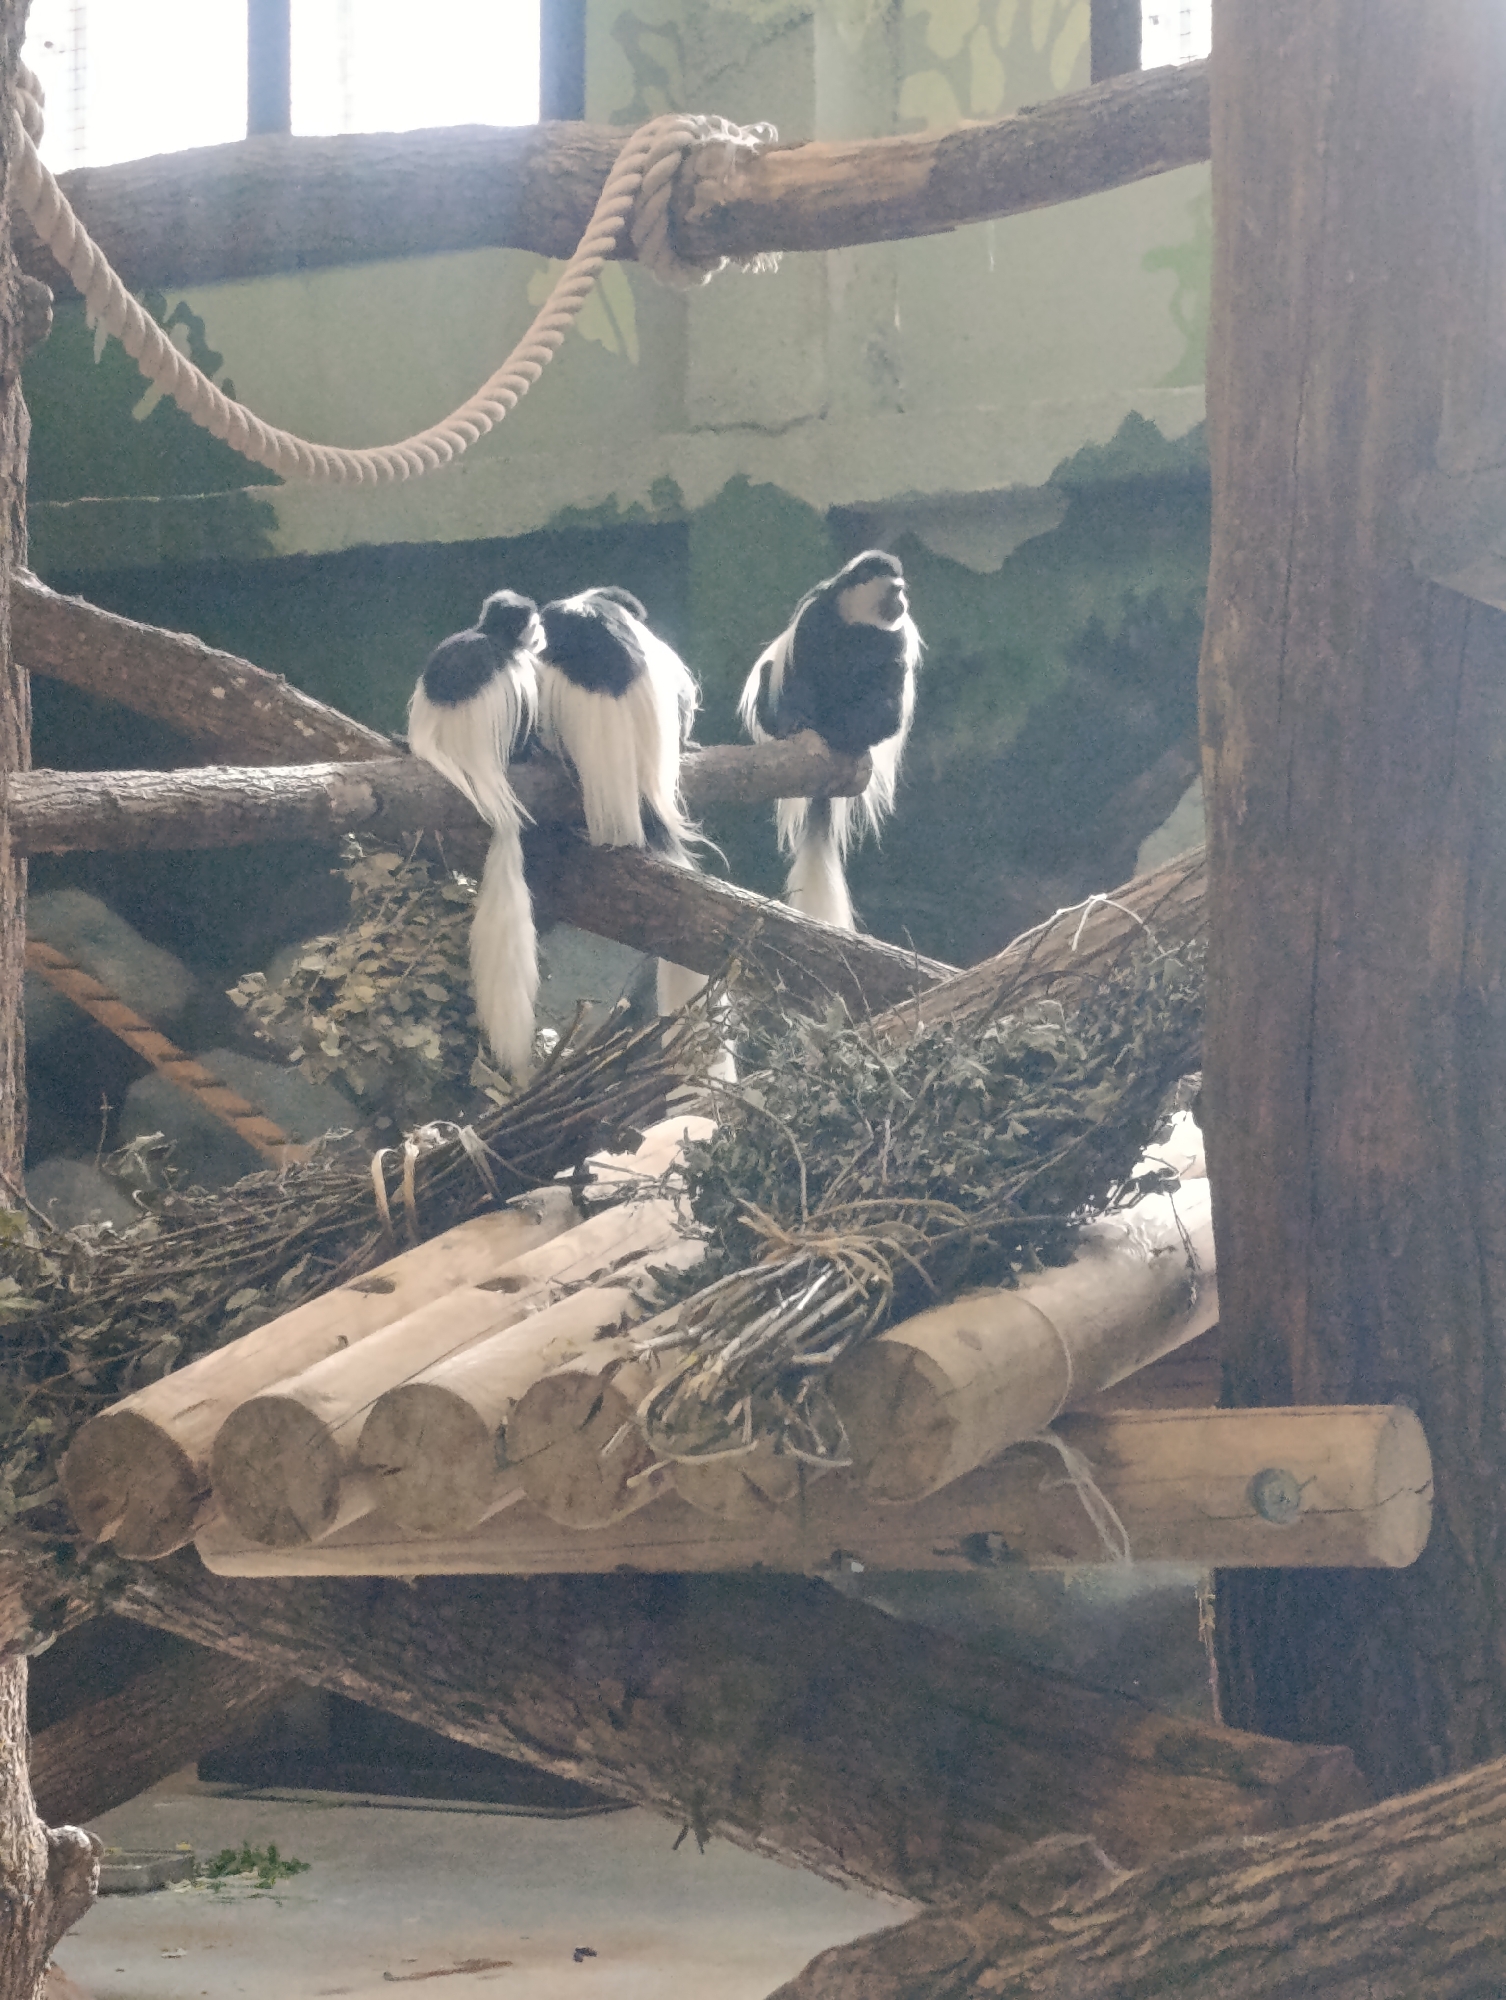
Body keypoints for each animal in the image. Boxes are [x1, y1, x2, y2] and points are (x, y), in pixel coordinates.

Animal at [739, 549, 922, 933]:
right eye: (895, 590)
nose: (904, 603)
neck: (855, 619)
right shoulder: (815, 615)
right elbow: (801, 671)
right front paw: (799, 723)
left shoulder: (894, 638)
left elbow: (888, 698)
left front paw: (849, 733)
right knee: (771, 674)